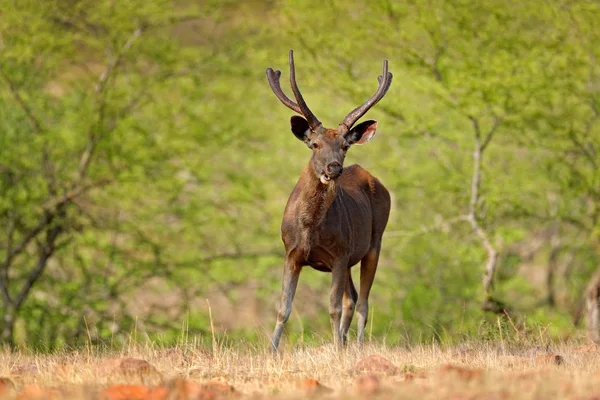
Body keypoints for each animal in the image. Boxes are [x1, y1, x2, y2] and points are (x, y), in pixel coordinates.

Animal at [264, 50, 392, 354]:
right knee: (353, 297)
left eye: (345, 146)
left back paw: (355, 345)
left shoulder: (339, 254)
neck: (310, 229)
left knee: (362, 301)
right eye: (315, 144)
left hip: (373, 242)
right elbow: (283, 307)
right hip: (350, 257)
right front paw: (271, 350)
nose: (334, 168)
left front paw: (336, 349)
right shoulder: (291, 252)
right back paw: (345, 341)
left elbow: (333, 307)